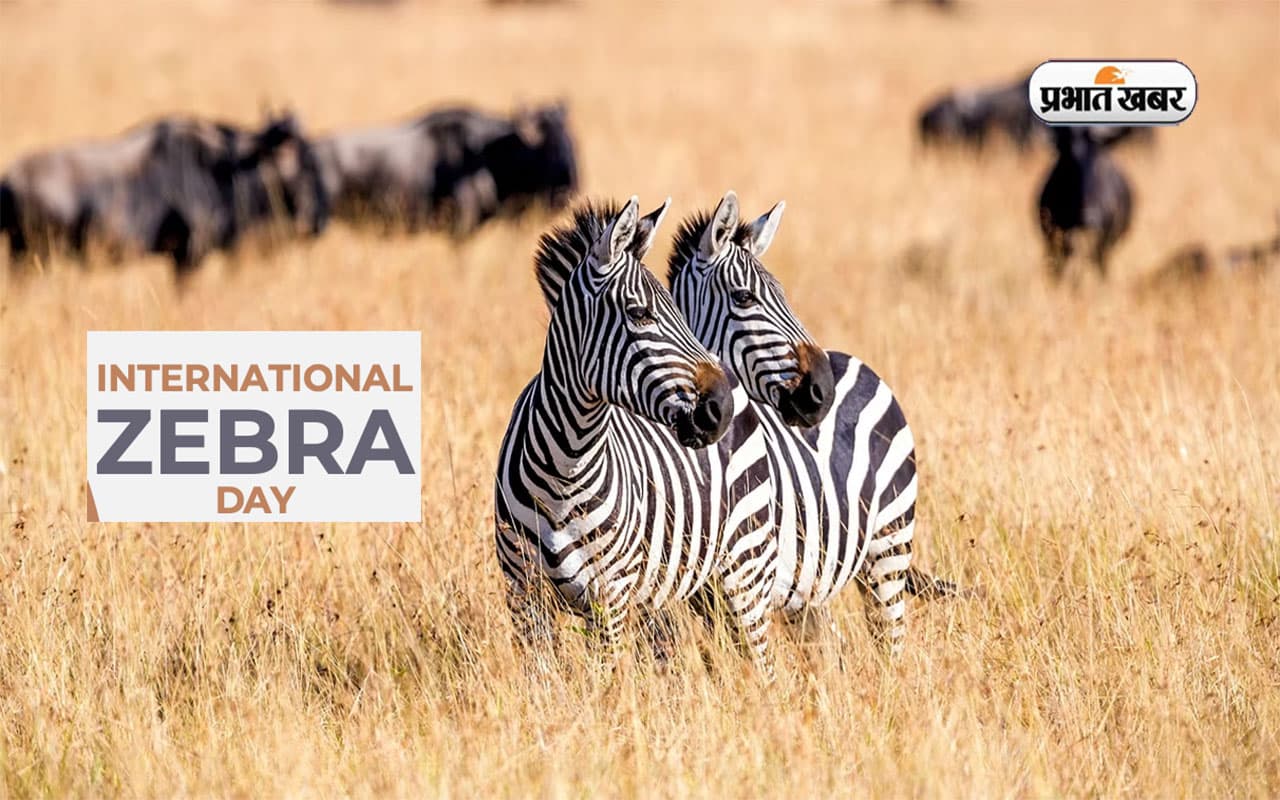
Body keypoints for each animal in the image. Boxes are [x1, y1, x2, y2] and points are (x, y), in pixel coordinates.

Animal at [493, 196, 779, 678]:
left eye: (675, 311)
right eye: (639, 313)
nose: (719, 407)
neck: (565, 465)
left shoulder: (609, 597)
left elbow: (604, 686)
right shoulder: (525, 596)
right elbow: (545, 683)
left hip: (745, 564)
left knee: (763, 660)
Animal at [667, 191, 958, 657]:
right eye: (744, 298)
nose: (821, 388)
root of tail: (853, 361)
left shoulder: (751, 579)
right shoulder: (704, 595)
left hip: (887, 547)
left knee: (890, 644)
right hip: (812, 585)